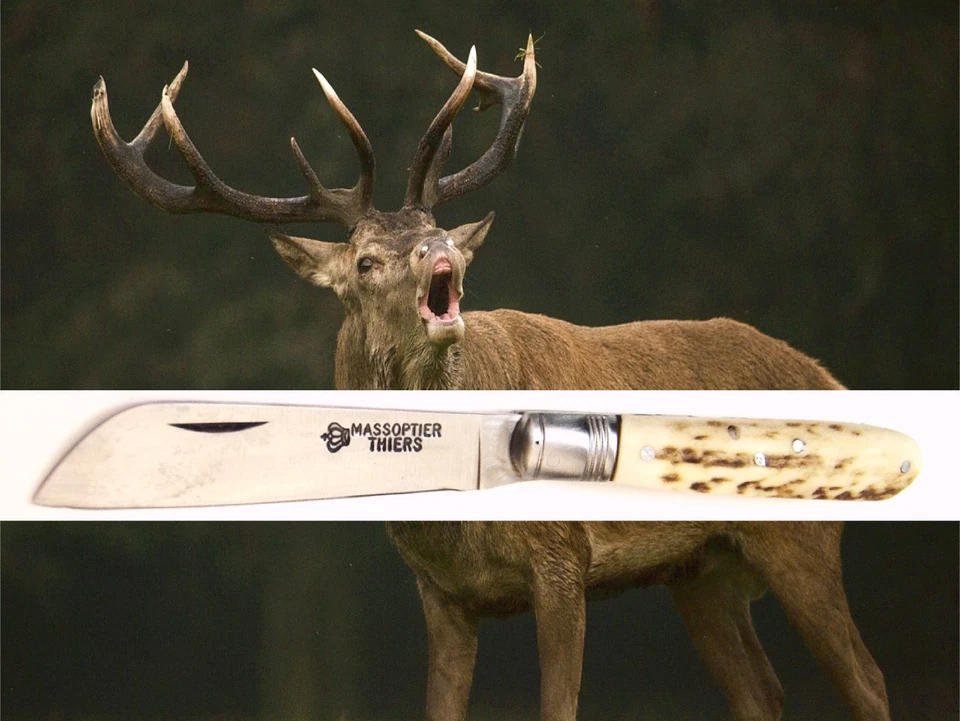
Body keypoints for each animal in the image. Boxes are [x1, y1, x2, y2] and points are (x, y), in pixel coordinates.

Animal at [387, 521, 890, 721]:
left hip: (799, 548)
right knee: (760, 692)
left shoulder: (561, 562)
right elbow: (441, 706)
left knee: (869, 681)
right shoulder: (441, 590)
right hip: (701, 580)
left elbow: (558, 705)